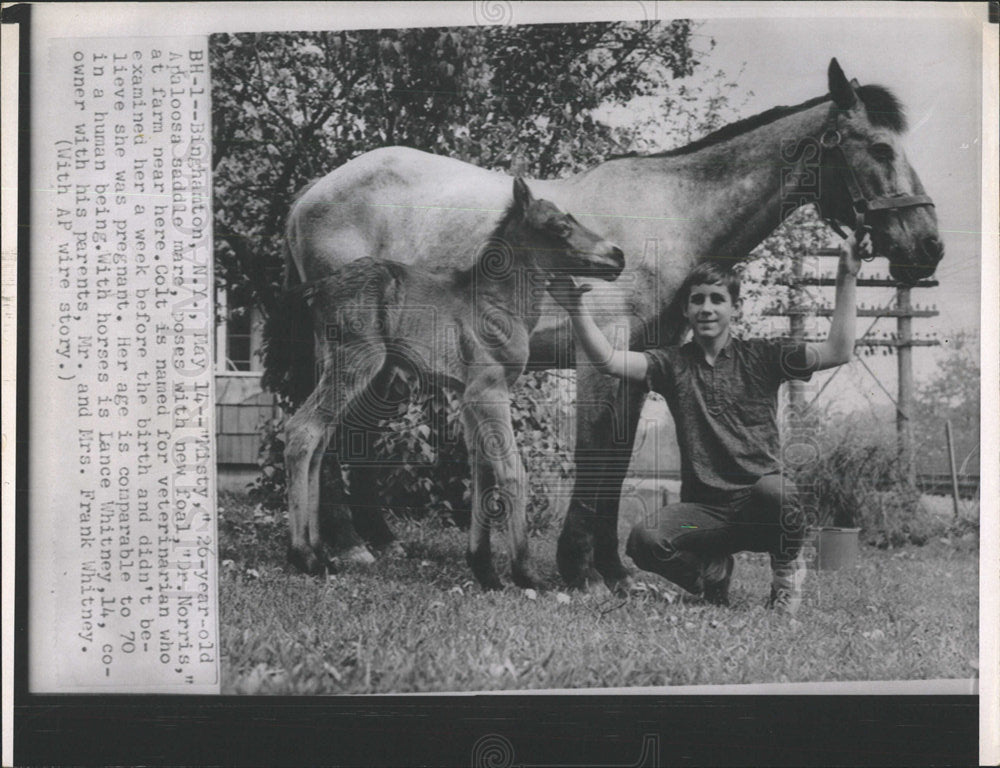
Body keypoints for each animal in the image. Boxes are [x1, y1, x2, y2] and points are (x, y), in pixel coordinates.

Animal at [286, 178, 620, 588]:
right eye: (559, 225)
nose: (618, 256)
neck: (497, 304)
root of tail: (320, 287)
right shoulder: (489, 390)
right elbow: (511, 470)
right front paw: (525, 573)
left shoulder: (467, 395)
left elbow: (482, 469)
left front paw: (484, 568)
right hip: (357, 363)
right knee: (302, 430)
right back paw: (304, 556)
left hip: (336, 366)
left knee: (319, 440)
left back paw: (320, 552)